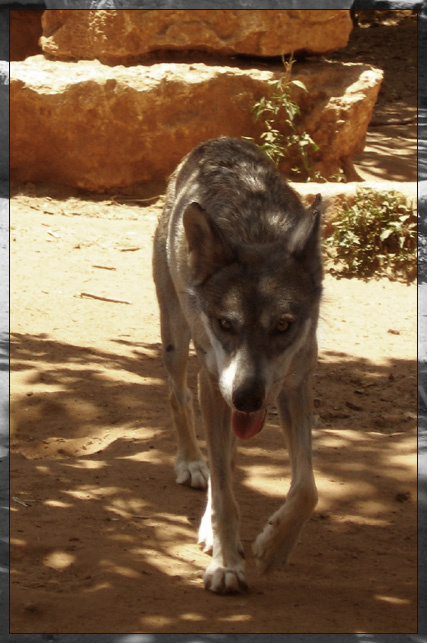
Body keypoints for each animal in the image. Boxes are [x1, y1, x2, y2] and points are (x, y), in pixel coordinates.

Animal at [152, 137, 322, 594]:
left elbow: (306, 489)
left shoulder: (295, 386)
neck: (256, 232)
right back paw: (191, 463)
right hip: (177, 345)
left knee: (226, 459)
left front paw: (272, 548)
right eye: (225, 324)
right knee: (178, 399)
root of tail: (218, 140)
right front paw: (227, 565)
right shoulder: (214, 385)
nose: (247, 397)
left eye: (283, 325)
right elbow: (226, 496)